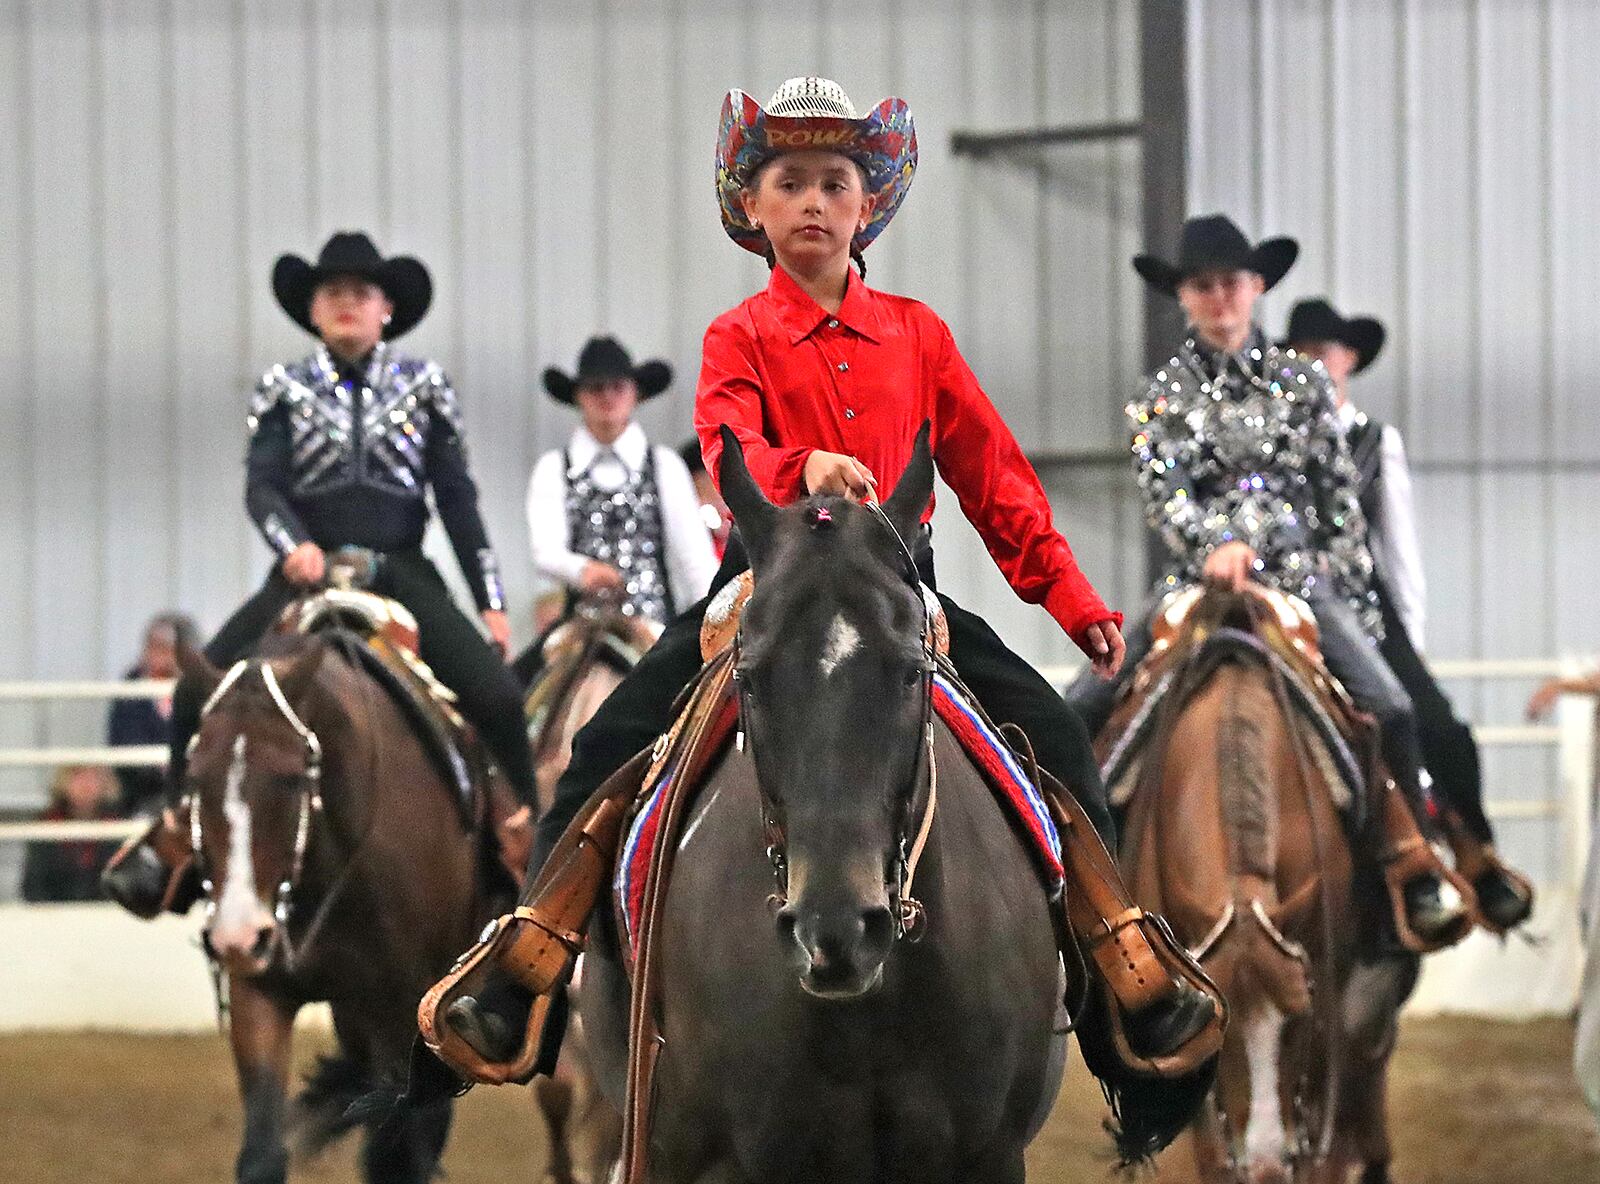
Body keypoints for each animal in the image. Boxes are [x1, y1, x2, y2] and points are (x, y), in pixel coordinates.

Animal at [183, 630, 492, 1184]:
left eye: (290, 778)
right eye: (196, 778)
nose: (237, 936)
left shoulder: (401, 1008)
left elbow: (397, 1153)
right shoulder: (259, 992)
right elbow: (263, 1155)